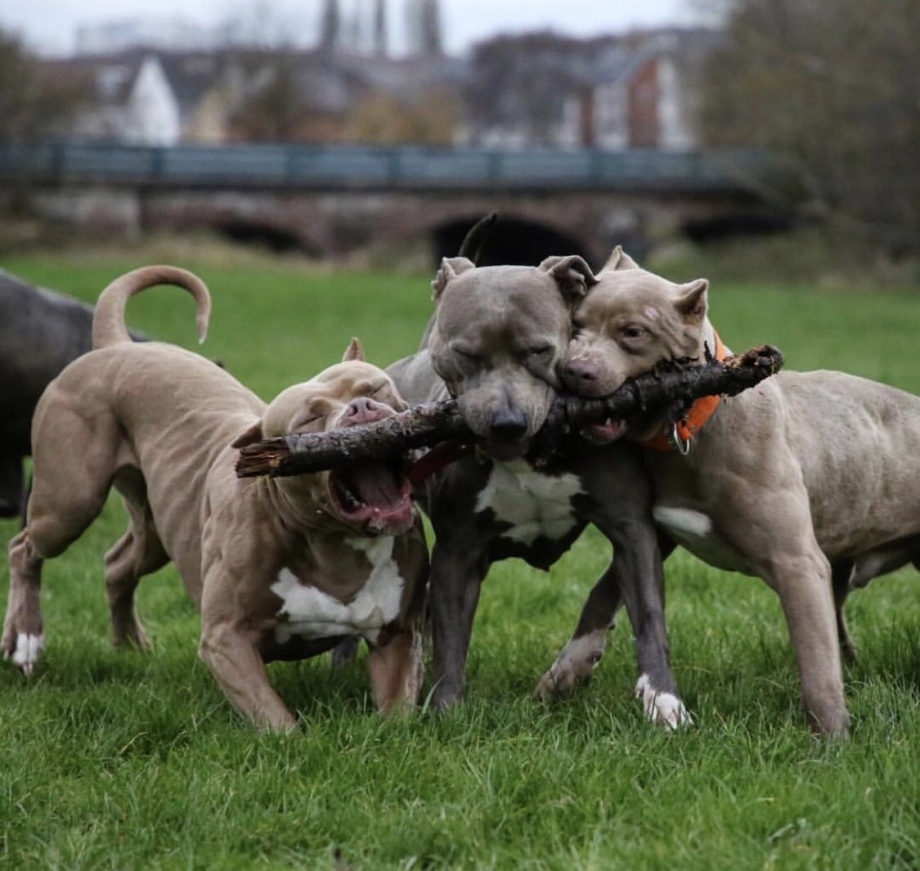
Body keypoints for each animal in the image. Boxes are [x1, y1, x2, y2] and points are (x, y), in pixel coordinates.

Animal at [388, 254, 688, 728]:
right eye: (465, 354)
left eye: (539, 350)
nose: (506, 422)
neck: (530, 455)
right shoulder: (458, 552)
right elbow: (451, 640)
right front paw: (446, 712)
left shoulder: (632, 529)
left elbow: (649, 614)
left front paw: (664, 699)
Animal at [560, 247, 920, 744]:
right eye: (575, 324)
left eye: (633, 332)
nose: (573, 371)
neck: (696, 420)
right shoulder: (651, 533)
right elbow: (604, 590)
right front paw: (566, 671)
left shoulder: (796, 563)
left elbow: (816, 663)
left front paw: (832, 743)